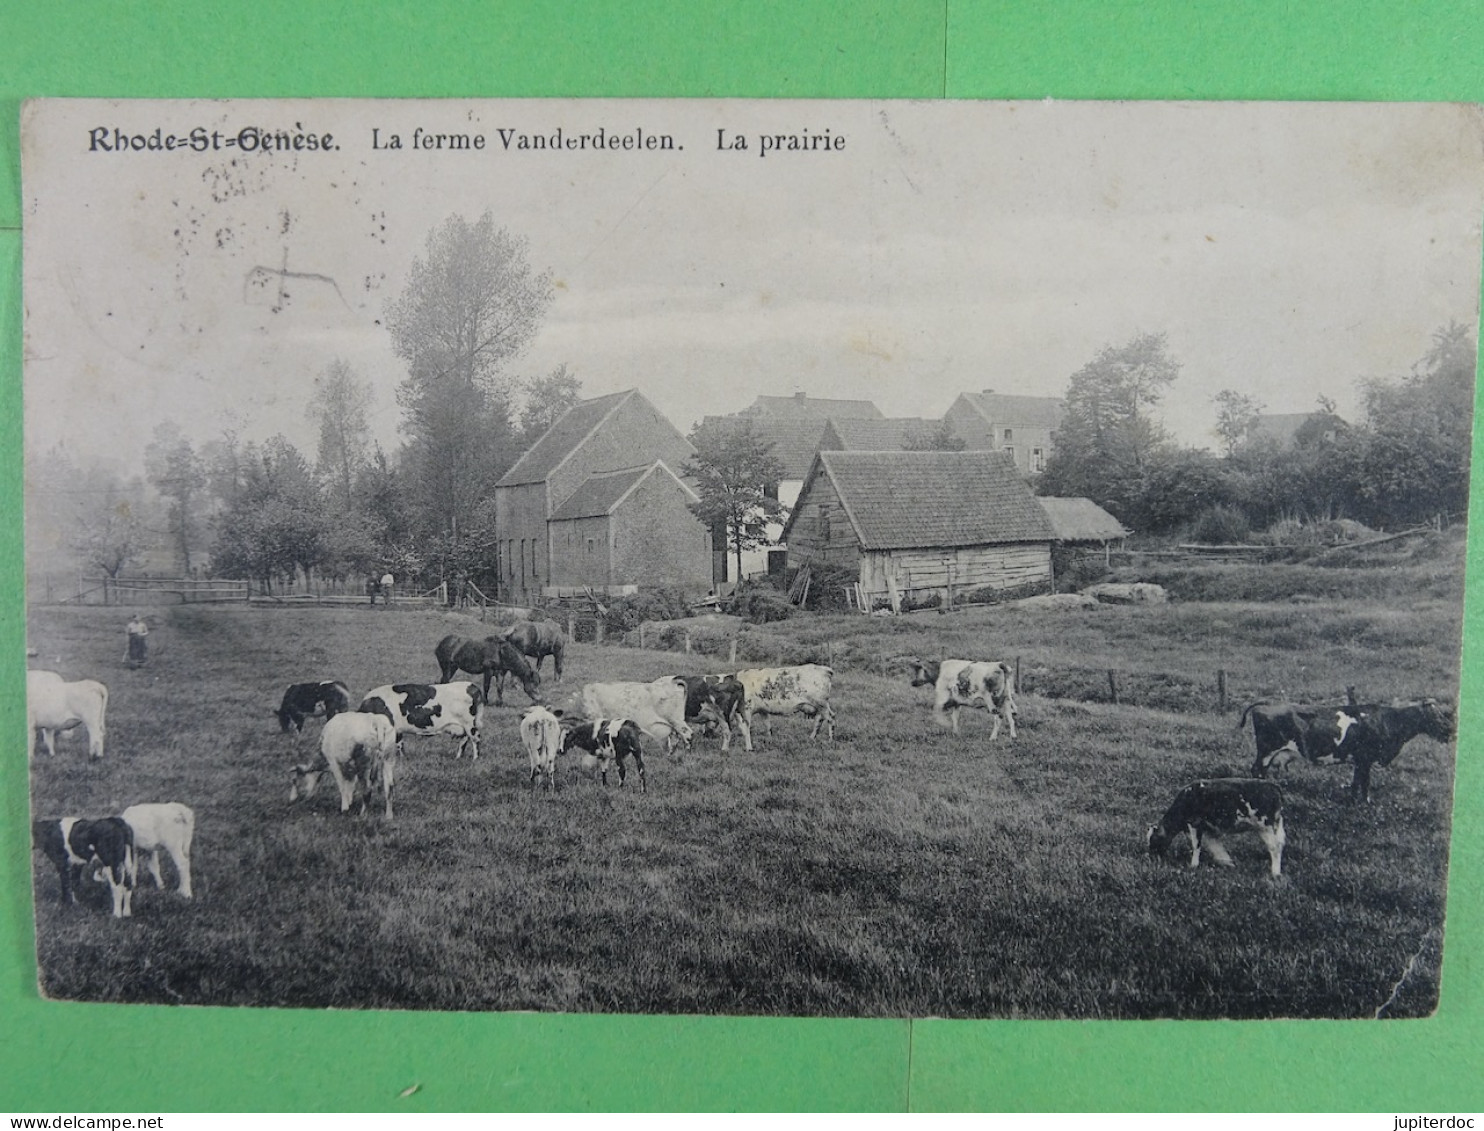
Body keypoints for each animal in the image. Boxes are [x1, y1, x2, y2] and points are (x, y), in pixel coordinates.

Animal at [1145, 777, 1288, 878]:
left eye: (1153, 840)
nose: (1150, 858)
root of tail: (1274, 786)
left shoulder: (1194, 823)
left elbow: (1196, 846)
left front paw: (1193, 865)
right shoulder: (1208, 829)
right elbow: (1215, 846)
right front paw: (1227, 862)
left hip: (1266, 827)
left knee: (1274, 847)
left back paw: (1275, 873)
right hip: (1276, 826)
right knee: (1280, 844)